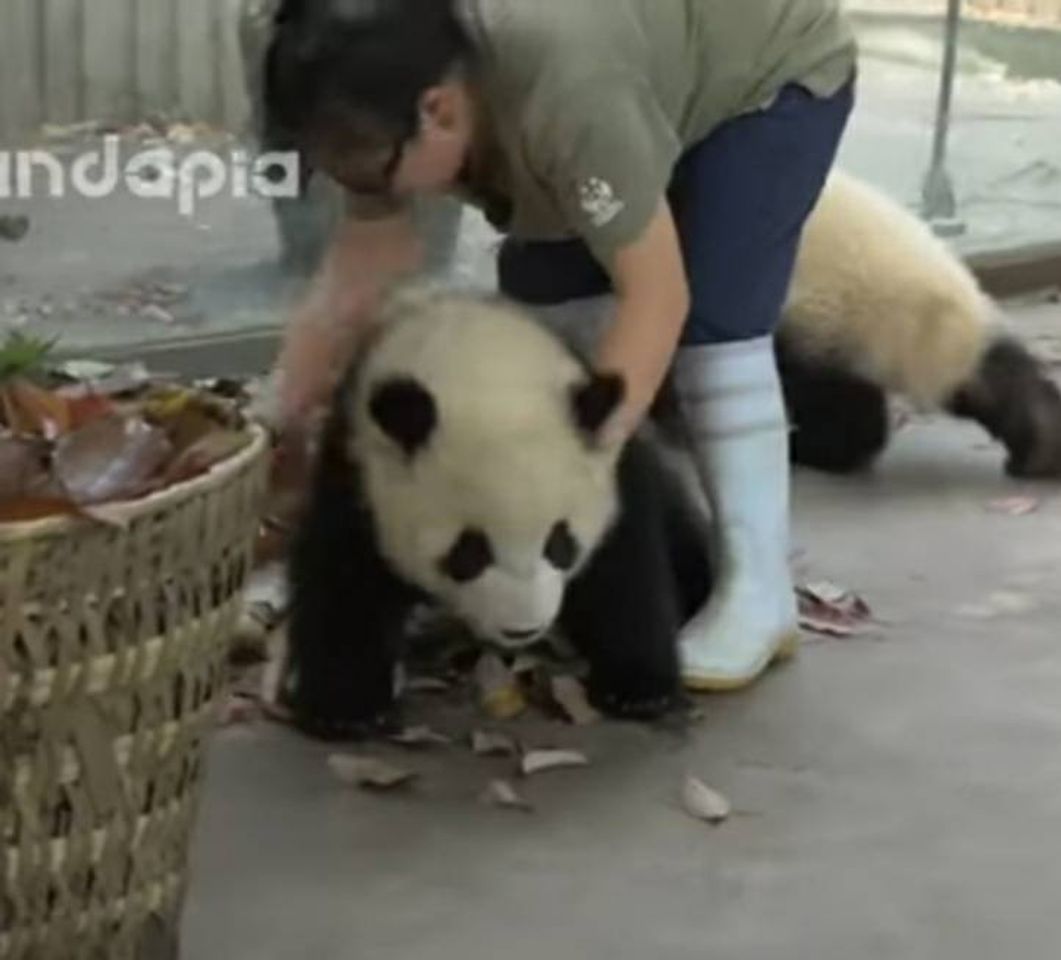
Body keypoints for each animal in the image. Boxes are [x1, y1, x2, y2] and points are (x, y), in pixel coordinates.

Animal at [286, 280, 708, 738]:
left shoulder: (612, 466)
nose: (523, 629)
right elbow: (345, 584)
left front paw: (638, 690)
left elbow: (625, 572)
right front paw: (346, 711)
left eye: (561, 543)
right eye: (469, 551)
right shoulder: (359, 472)